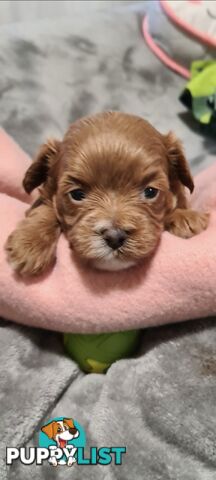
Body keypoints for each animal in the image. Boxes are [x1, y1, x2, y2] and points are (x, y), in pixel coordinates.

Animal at [4, 111, 208, 274]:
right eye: (77, 194)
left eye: (150, 192)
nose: (114, 236)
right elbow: (45, 209)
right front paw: (29, 244)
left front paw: (186, 218)